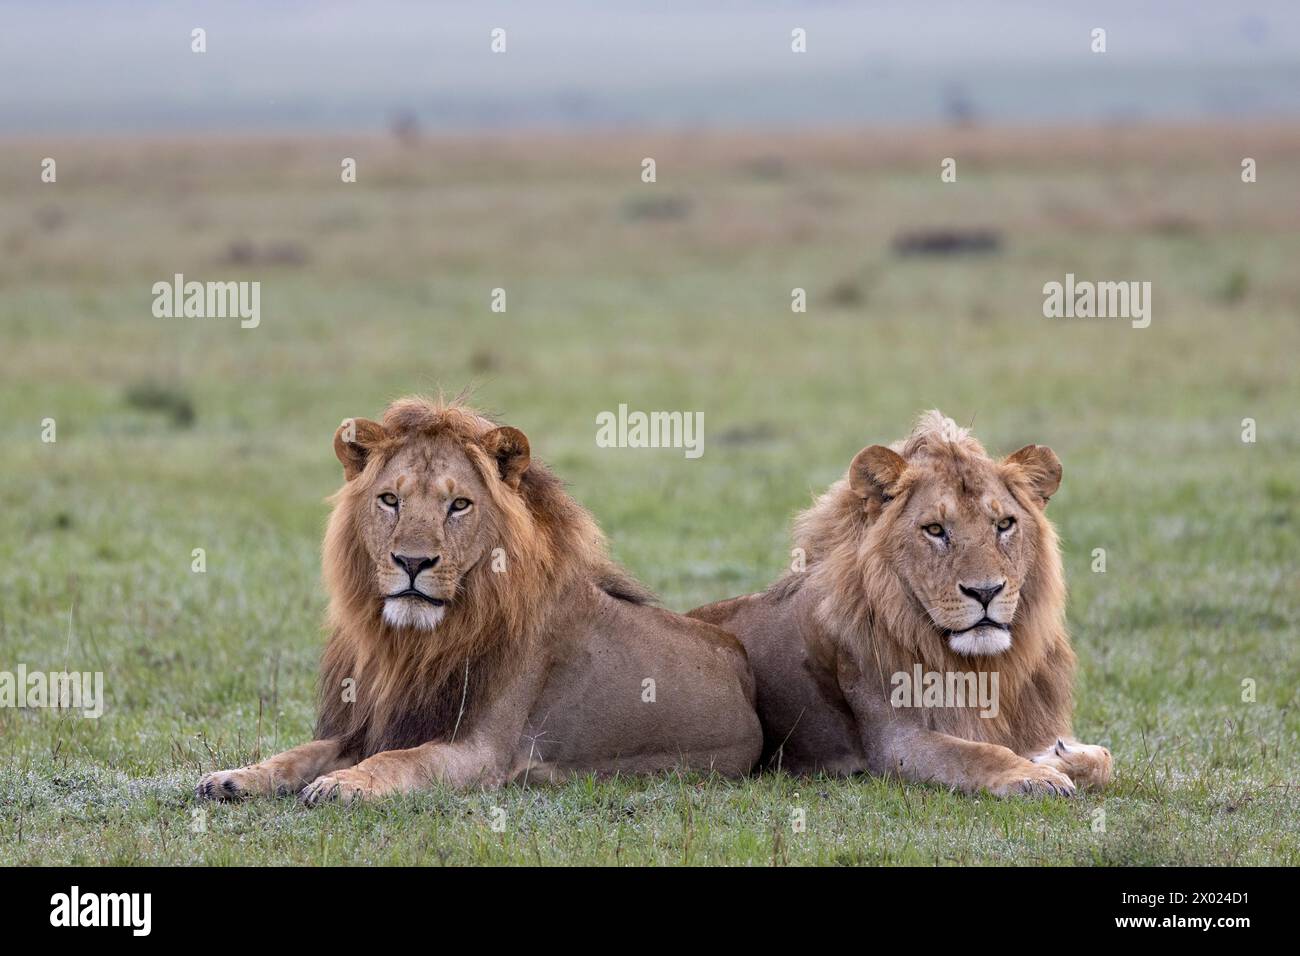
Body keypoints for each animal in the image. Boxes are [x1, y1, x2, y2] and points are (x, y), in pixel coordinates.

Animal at [197, 397, 762, 803]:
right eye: (390, 499)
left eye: (459, 505)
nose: (412, 562)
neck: (417, 643)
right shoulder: (376, 725)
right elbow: (301, 752)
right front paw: (234, 777)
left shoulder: (483, 751)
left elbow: (404, 761)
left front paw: (344, 784)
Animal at [690, 411, 1111, 797]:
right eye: (935, 530)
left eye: (1004, 524)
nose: (986, 592)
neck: (982, 667)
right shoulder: (894, 742)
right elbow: (979, 753)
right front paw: (1034, 776)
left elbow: (1106, 758)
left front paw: (1056, 756)